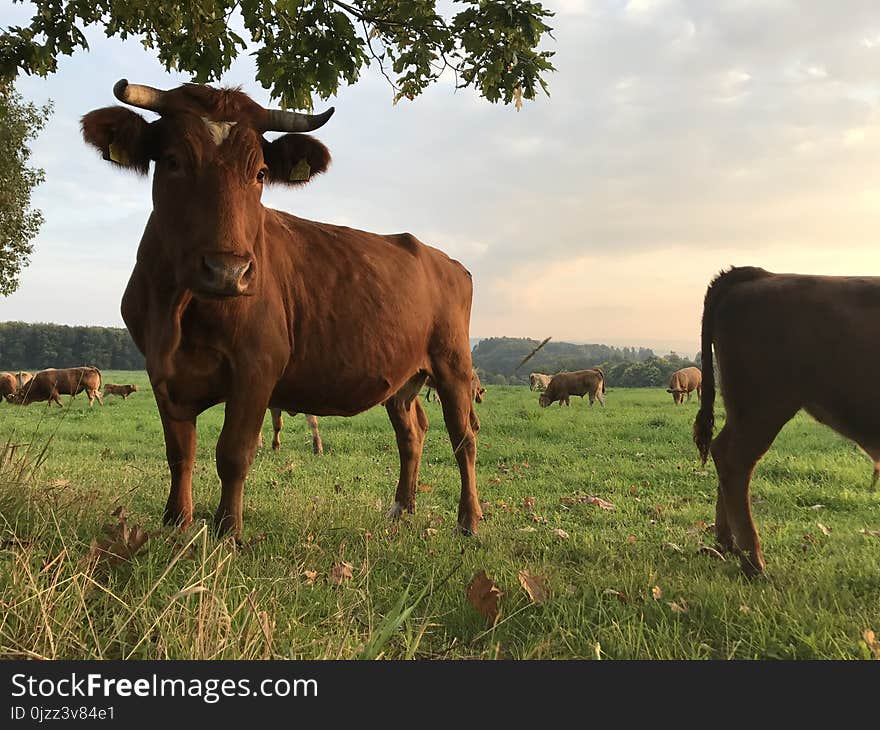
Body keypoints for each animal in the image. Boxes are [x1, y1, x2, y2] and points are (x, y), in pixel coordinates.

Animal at [81, 79, 482, 536]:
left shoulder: (258, 365)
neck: (177, 311)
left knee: (464, 438)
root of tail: (441, 258)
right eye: (172, 160)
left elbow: (234, 452)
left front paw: (228, 531)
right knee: (412, 431)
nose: (228, 270)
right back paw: (402, 507)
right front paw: (176, 522)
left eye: (259, 173)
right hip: (403, 377)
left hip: (453, 364)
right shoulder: (160, 371)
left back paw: (469, 520)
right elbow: (180, 452)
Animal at [696, 266, 880, 576]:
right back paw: (753, 562)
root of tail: (763, 275)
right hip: (764, 408)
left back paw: (727, 544)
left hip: (743, 411)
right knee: (735, 463)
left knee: (722, 451)